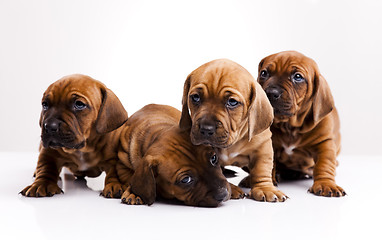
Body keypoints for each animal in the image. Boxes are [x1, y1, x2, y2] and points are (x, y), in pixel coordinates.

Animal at [179, 59, 286, 202]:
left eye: (232, 102)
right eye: (195, 97)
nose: (206, 129)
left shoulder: (263, 147)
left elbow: (262, 169)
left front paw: (265, 188)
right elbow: (218, 172)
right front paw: (232, 189)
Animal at [258, 50, 344, 197]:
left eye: (297, 77)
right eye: (264, 73)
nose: (270, 93)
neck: (290, 127)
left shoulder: (324, 144)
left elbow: (324, 164)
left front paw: (326, 183)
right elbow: (269, 162)